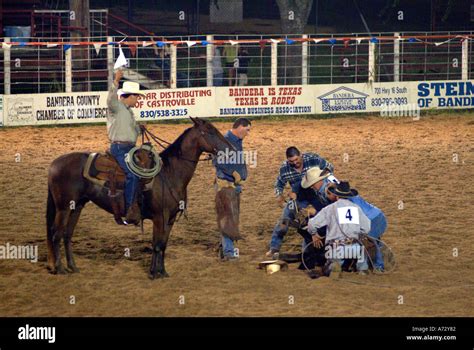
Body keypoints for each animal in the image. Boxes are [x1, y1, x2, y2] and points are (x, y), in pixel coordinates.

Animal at [46, 117, 233, 278]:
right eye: (209, 132)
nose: (230, 148)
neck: (170, 173)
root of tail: (54, 163)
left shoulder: (170, 218)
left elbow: (163, 245)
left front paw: (162, 272)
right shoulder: (159, 217)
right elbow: (156, 244)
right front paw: (153, 273)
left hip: (77, 206)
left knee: (67, 235)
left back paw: (73, 267)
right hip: (63, 207)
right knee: (56, 234)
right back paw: (60, 268)